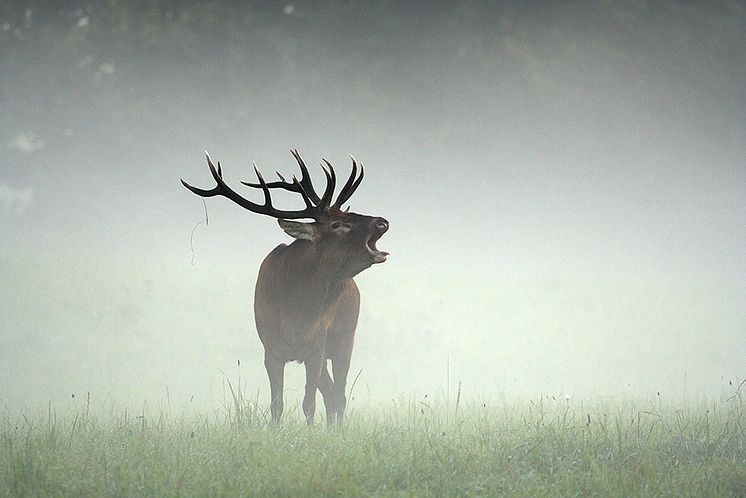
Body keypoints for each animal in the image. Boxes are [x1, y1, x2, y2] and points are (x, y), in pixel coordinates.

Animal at [181, 149, 390, 424]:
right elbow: (277, 405)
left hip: (345, 338)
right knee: (332, 394)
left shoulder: (316, 348)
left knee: (340, 396)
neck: (297, 318)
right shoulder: (270, 350)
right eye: (337, 224)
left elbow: (309, 403)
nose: (382, 222)